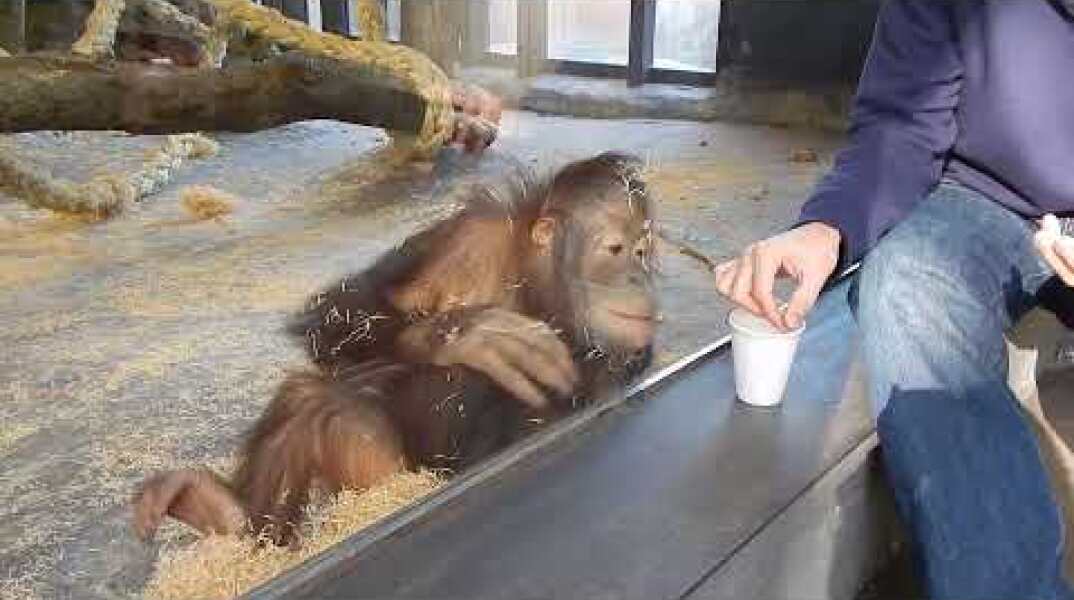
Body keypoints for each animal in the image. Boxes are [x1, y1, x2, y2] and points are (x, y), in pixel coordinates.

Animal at [133, 151, 660, 545]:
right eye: (616, 249)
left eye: (642, 250)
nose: (639, 277)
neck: (536, 286)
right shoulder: (472, 236)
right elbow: (343, 314)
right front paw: (470, 335)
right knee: (316, 397)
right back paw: (224, 514)